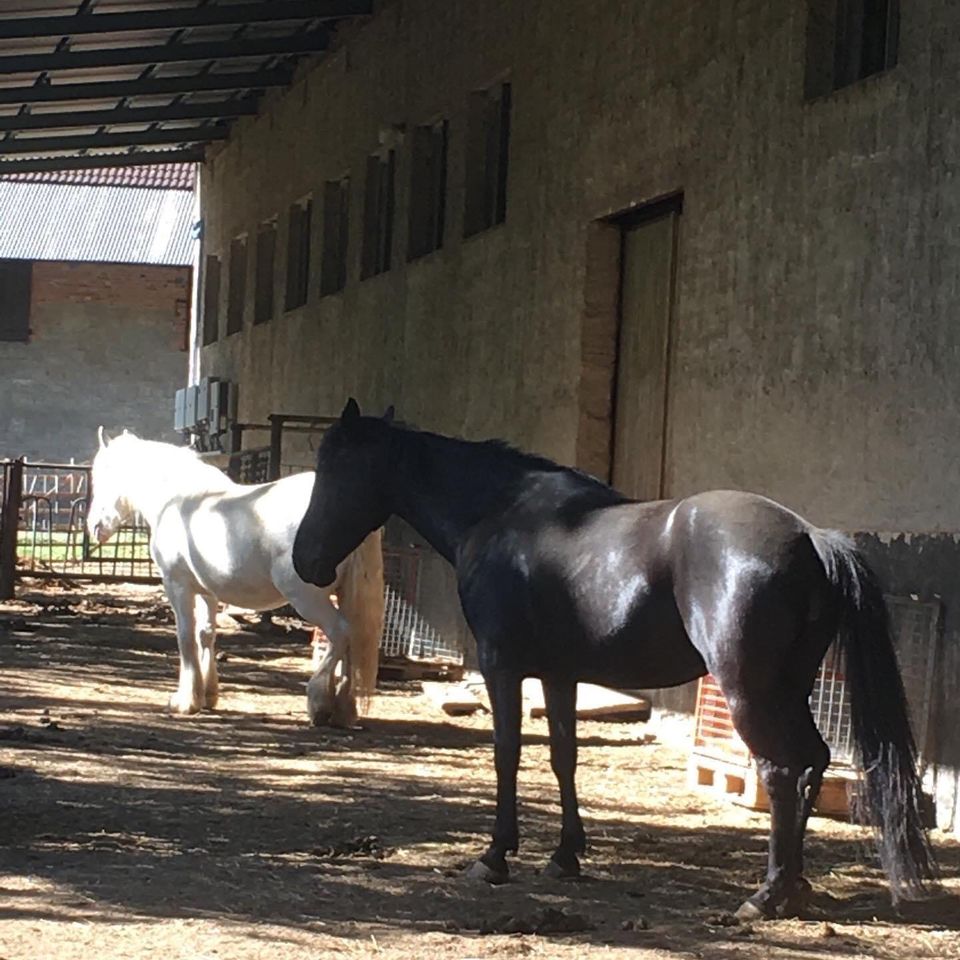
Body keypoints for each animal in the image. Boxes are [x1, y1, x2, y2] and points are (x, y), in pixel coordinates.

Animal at [86, 432, 384, 724]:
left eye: (102, 475)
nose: (94, 526)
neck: (178, 500)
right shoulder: (207, 591)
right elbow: (205, 634)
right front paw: (207, 695)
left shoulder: (178, 586)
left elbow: (185, 637)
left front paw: (185, 701)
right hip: (343, 593)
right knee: (352, 639)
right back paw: (344, 709)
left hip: (307, 597)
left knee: (340, 633)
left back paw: (320, 702)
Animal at [292, 400, 936, 924]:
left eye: (339, 468)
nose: (305, 560)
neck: (500, 516)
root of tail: (809, 537)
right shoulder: (558, 674)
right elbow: (563, 756)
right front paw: (564, 856)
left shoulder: (502, 666)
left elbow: (507, 754)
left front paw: (495, 857)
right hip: (789, 687)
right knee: (811, 764)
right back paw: (795, 887)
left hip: (748, 690)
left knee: (781, 770)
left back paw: (767, 895)